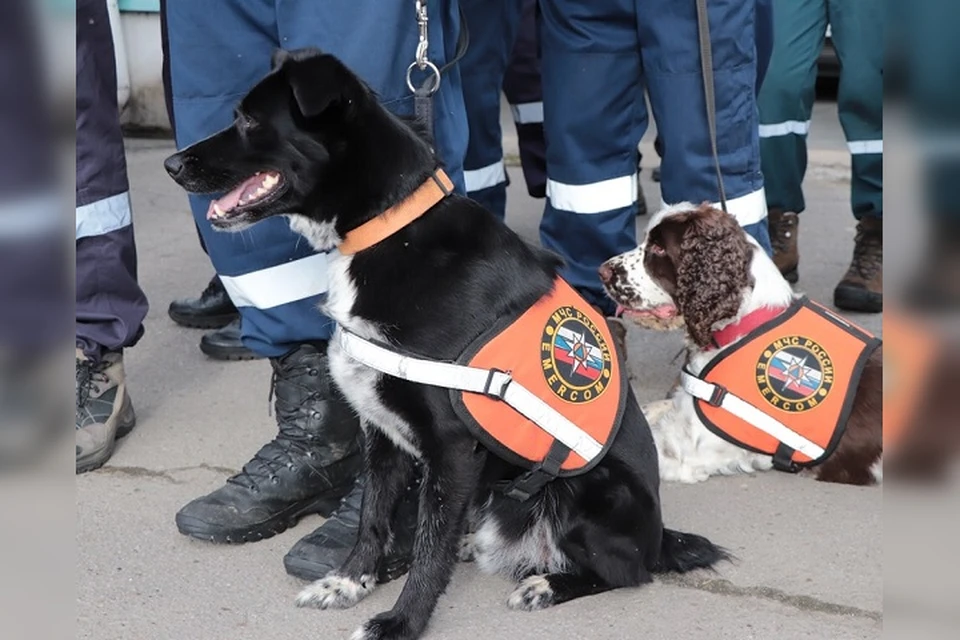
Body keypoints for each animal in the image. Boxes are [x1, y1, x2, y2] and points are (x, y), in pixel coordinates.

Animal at [163, 50, 728, 640]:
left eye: (249, 120)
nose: (172, 164)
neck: (390, 230)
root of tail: (658, 535)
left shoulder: (452, 447)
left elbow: (426, 550)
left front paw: (401, 621)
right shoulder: (380, 431)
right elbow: (372, 516)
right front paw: (349, 582)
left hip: (589, 494)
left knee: (625, 572)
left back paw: (546, 585)